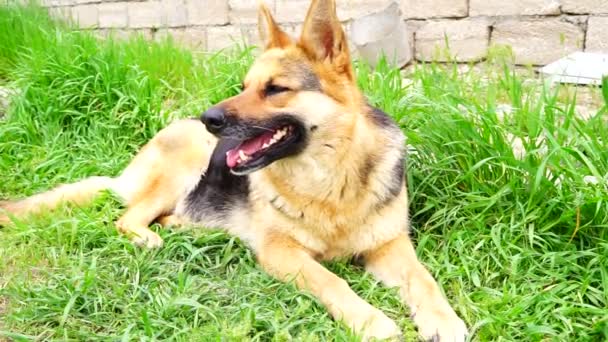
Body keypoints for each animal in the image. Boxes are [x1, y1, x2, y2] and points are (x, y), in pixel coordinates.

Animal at [0, 1, 468, 340]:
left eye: (275, 89)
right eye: (244, 86)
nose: (210, 118)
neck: (329, 180)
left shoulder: (390, 245)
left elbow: (426, 280)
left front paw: (443, 320)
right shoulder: (283, 253)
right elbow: (332, 281)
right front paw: (370, 320)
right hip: (185, 163)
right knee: (128, 217)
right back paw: (151, 237)